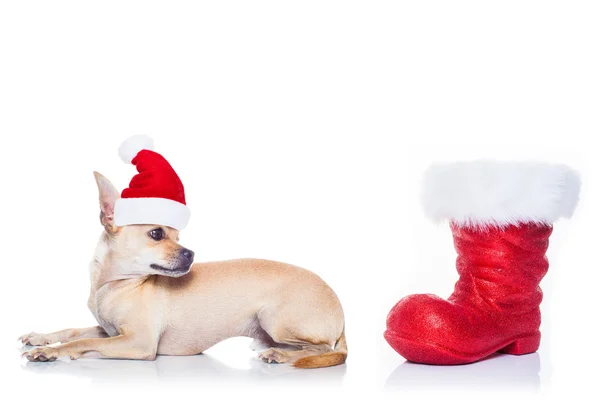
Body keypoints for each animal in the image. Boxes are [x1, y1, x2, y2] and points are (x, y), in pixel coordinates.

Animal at [21, 172, 346, 368]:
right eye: (157, 234)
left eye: (178, 237)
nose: (191, 254)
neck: (112, 286)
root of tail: (341, 313)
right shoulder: (109, 330)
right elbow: (74, 330)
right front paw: (40, 337)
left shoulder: (138, 342)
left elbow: (83, 341)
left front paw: (50, 351)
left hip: (275, 319)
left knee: (324, 350)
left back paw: (279, 354)